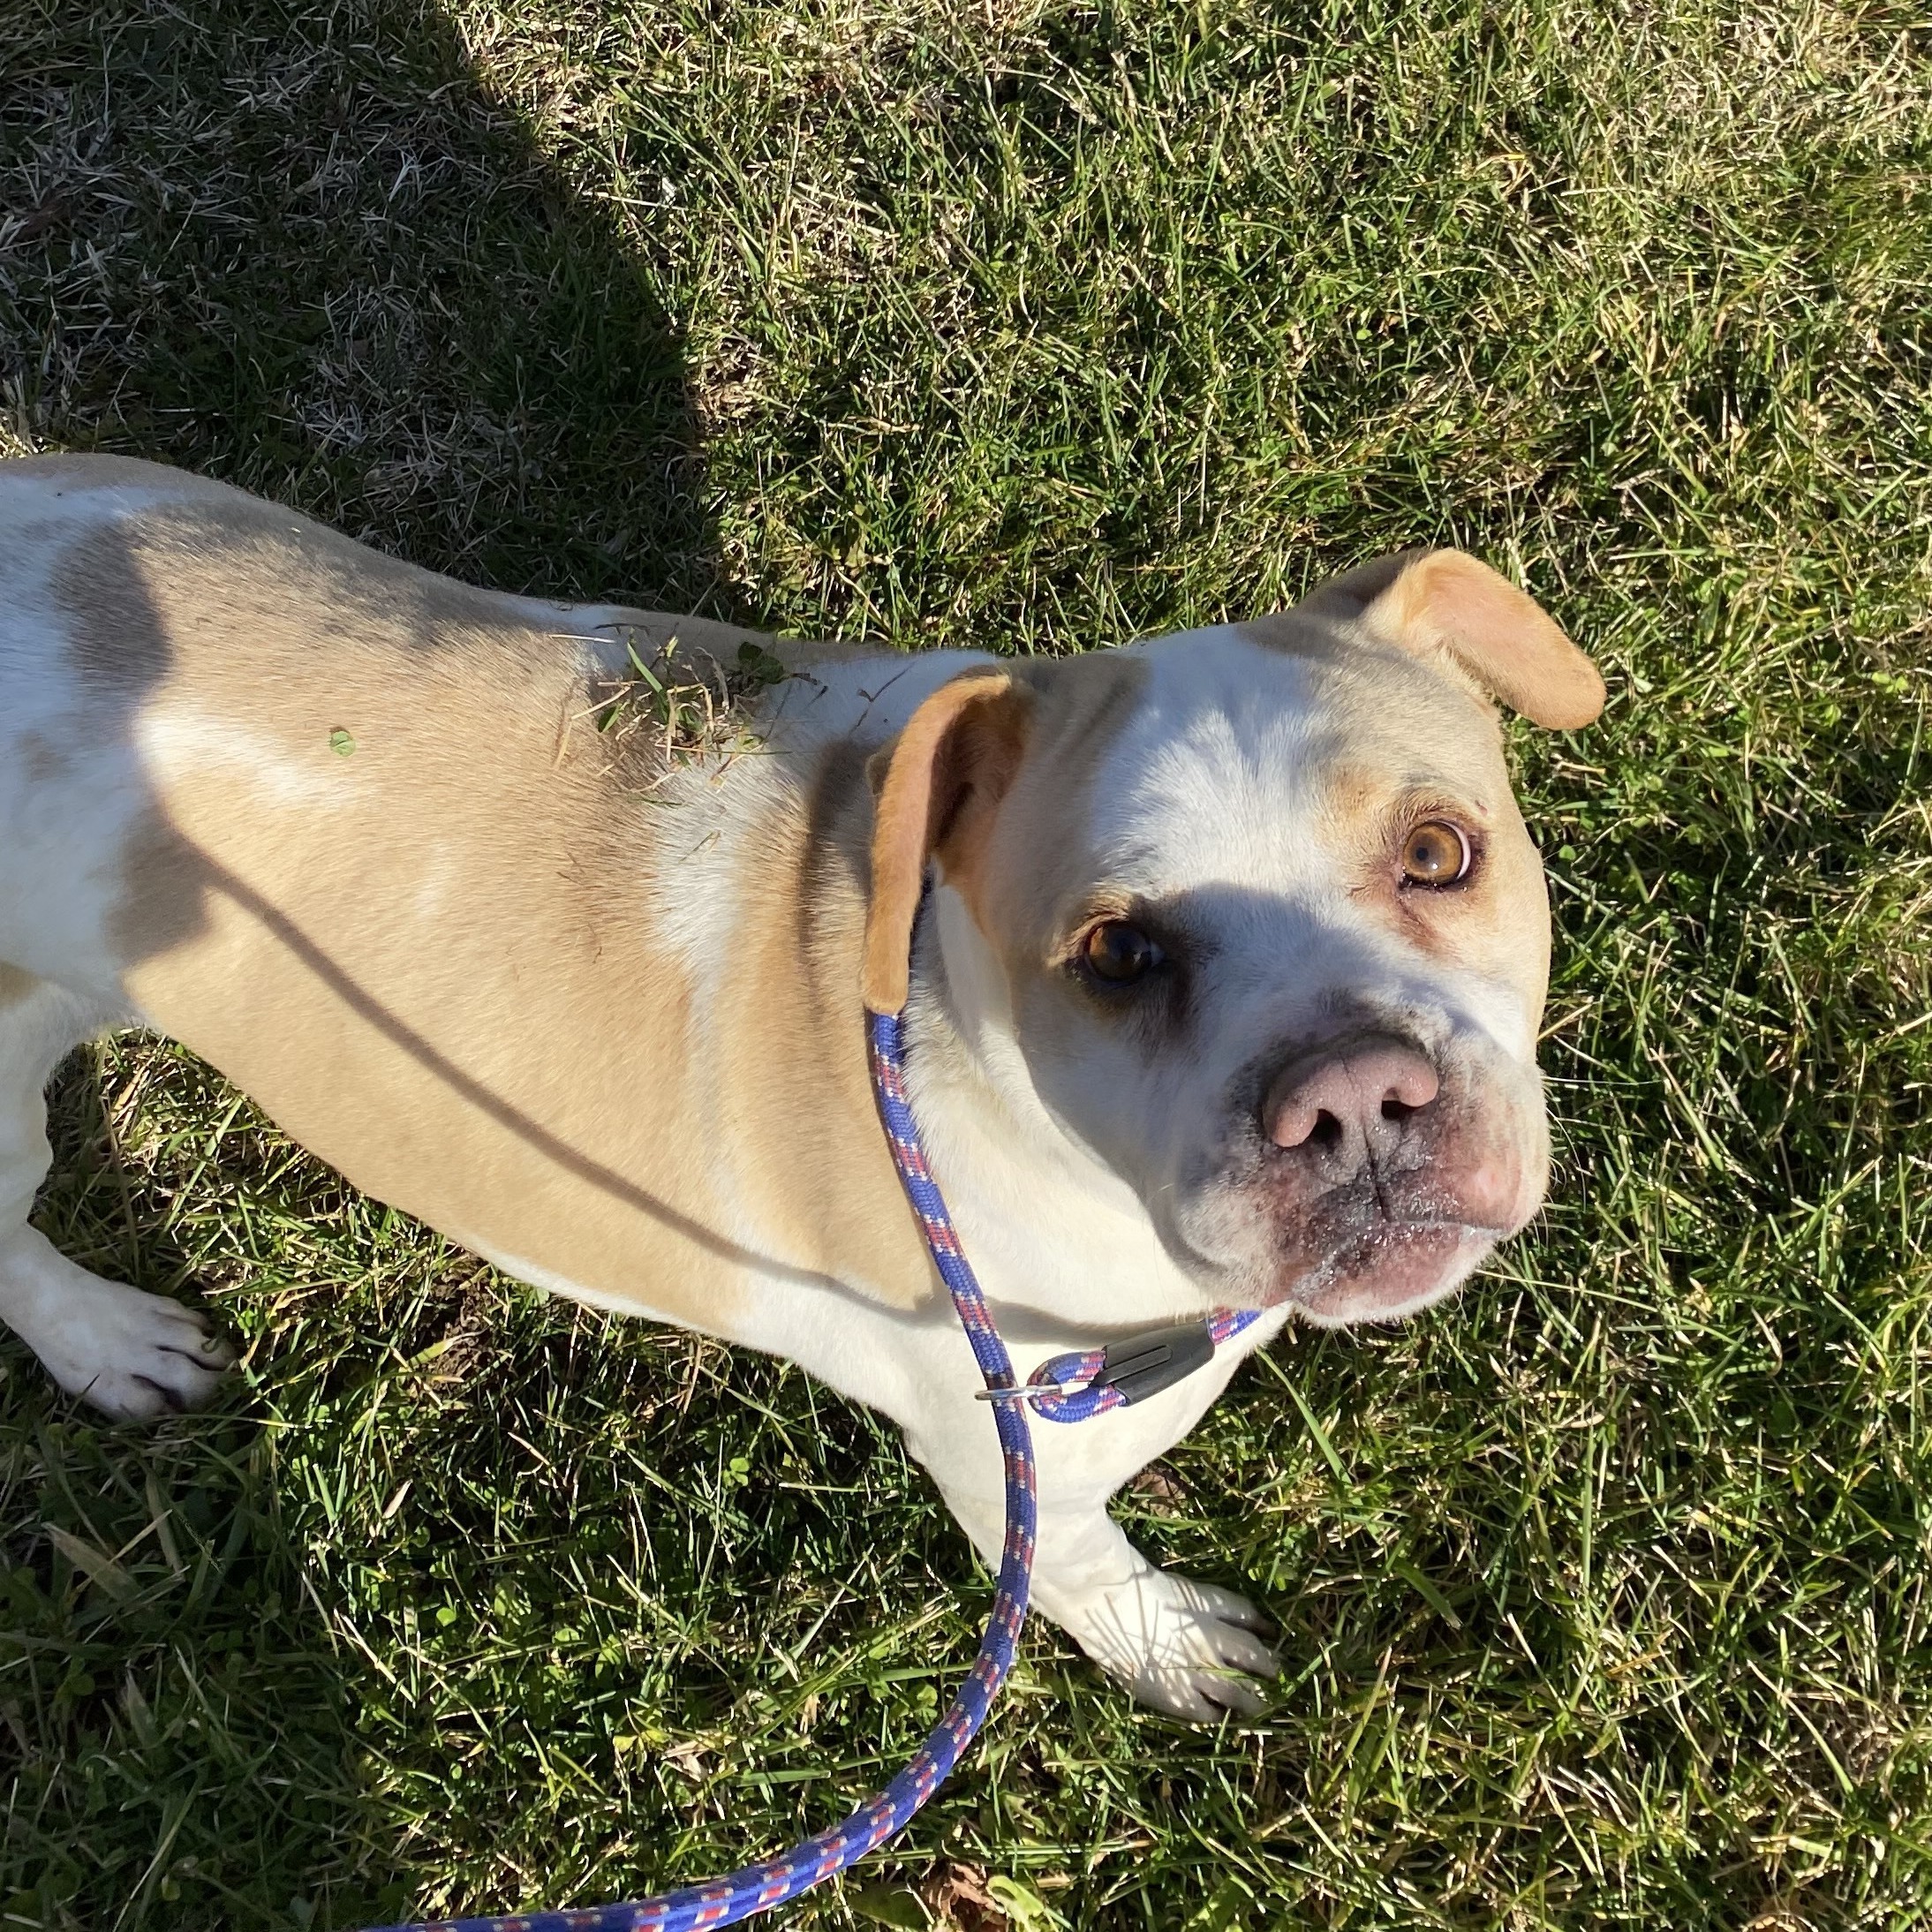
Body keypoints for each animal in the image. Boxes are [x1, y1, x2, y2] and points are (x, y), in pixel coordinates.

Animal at [0, 456, 1599, 1723]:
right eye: (1118, 953)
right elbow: (1081, 1564)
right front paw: (1161, 1644)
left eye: (1440, 851)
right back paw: (109, 1339)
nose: (1353, 1096)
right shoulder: (1008, 1467)